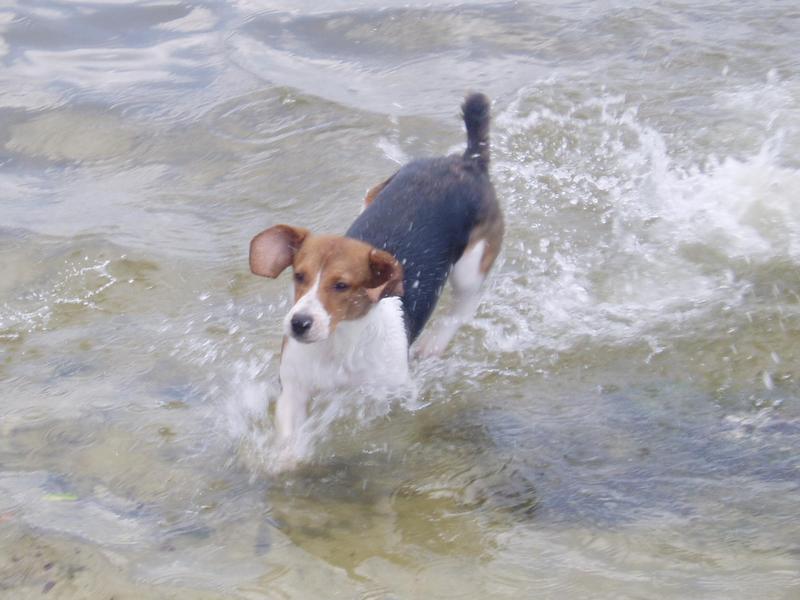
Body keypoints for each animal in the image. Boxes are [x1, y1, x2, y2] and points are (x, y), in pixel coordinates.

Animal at [250, 94, 504, 440]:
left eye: (341, 285)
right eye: (298, 276)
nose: (299, 323)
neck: (337, 345)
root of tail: (468, 161)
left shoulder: (390, 392)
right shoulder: (293, 391)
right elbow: (290, 439)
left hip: (470, 265)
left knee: (464, 305)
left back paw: (435, 342)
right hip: (372, 193)